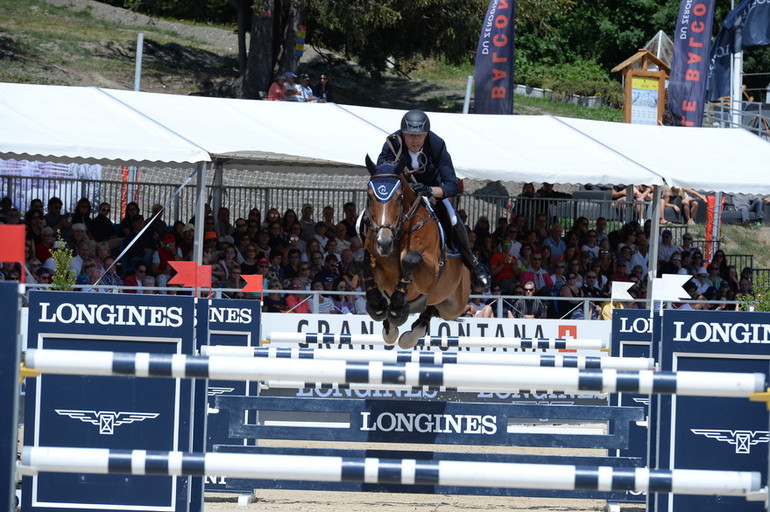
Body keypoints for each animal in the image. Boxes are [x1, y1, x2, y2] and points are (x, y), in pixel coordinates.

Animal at [352, 155, 468, 348]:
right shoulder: (381, 272)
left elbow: (410, 259)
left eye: (399, 197)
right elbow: (362, 257)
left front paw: (398, 309)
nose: (384, 242)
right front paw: (378, 306)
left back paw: (411, 333)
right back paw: (393, 328)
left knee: (433, 307)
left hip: (454, 306)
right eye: (369, 196)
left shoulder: (430, 274)